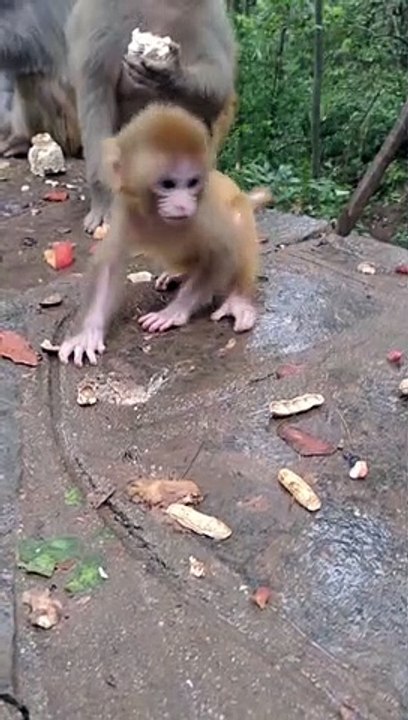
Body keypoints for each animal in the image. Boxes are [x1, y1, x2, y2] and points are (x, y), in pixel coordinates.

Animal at [58, 104, 272, 367]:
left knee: (238, 222)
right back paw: (176, 273)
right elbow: (109, 262)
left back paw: (238, 299)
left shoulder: (205, 210)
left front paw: (173, 312)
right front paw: (87, 334)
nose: (182, 204)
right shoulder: (126, 208)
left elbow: (223, 253)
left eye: (192, 182)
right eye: (168, 184)